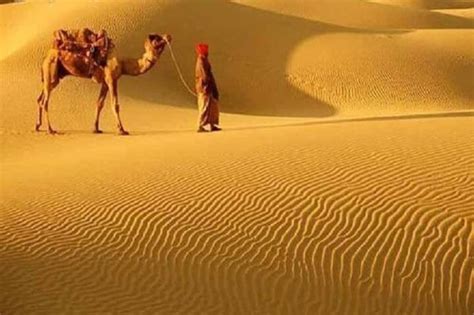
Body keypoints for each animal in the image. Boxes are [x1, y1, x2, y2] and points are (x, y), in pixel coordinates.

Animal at [36, 32, 172, 135]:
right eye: (157, 38)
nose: (169, 36)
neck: (123, 64)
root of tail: (46, 55)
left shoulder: (105, 83)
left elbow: (99, 103)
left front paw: (96, 128)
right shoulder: (112, 79)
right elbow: (115, 105)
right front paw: (122, 130)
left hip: (54, 76)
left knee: (40, 98)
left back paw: (37, 126)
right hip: (51, 69)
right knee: (45, 101)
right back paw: (50, 130)